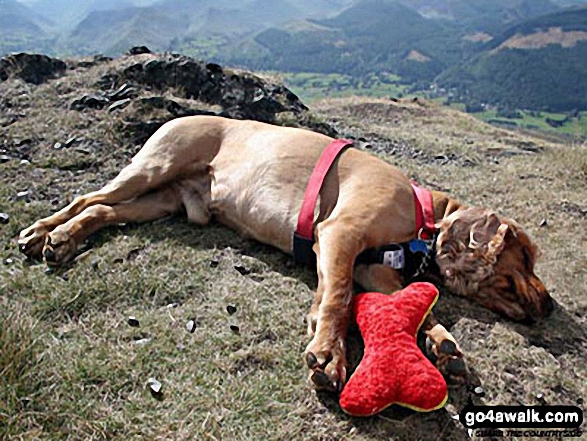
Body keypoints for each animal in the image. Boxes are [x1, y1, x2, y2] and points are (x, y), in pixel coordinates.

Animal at [17, 115, 552, 390]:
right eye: (527, 257)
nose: (549, 305)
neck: (424, 215)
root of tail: (178, 115)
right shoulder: (339, 234)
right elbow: (337, 297)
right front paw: (329, 354)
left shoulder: (373, 269)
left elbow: (415, 307)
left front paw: (442, 344)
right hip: (155, 165)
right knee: (87, 198)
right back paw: (43, 234)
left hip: (162, 200)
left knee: (101, 211)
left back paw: (64, 240)